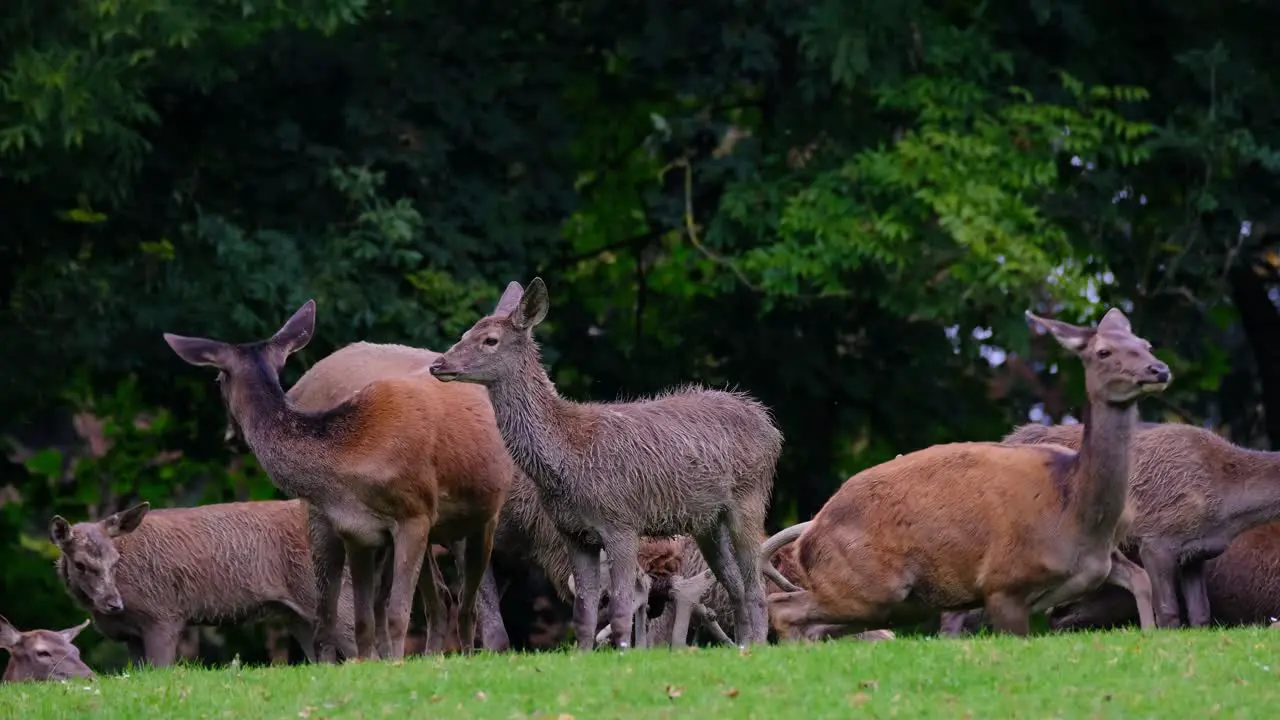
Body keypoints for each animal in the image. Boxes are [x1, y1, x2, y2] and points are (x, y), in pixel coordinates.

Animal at [50, 497, 358, 666]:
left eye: (115, 560)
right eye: (80, 564)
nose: (113, 603)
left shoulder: (163, 615)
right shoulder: (132, 635)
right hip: (298, 617)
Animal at [162, 299, 512, 661]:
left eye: (218, 380)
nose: (231, 437)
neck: (351, 459)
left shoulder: (414, 514)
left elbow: (398, 614)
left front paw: (395, 663)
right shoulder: (357, 531)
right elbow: (362, 619)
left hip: (484, 516)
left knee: (467, 605)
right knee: (441, 600)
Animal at [427, 275, 778, 645]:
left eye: (490, 340)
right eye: (465, 332)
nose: (438, 364)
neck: (565, 460)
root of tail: (768, 423)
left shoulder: (621, 523)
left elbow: (622, 610)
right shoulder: (573, 533)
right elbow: (583, 615)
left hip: (750, 499)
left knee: (755, 587)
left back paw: (754, 644)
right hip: (707, 522)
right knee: (735, 585)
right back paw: (744, 645)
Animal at [757, 307, 1172, 632]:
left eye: (1146, 343)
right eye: (1103, 351)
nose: (1159, 369)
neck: (1074, 511)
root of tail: (810, 537)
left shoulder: (1101, 564)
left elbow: (1141, 580)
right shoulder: (1003, 581)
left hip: (880, 604)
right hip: (870, 586)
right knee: (783, 609)